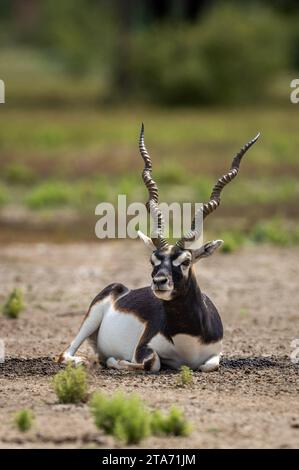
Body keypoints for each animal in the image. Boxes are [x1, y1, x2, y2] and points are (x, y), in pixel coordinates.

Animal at [58, 124, 260, 370]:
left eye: (186, 261)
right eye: (152, 260)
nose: (159, 281)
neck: (187, 339)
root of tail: (122, 290)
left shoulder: (214, 354)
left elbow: (208, 364)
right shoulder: (143, 349)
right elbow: (150, 362)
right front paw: (117, 360)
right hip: (91, 317)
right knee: (66, 354)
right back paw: (84, 360)